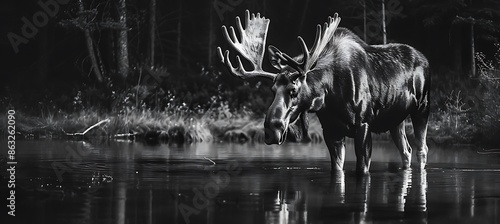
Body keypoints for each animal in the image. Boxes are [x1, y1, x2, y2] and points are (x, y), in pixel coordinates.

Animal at [217, 10, 432, 174]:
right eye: (272, 89)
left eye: (293, 90)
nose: (271, 129)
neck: (329, 96)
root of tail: (425, 59)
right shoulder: (331, 130)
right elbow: (337, 169)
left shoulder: (363, 124)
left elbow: (362, 169)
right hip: (396, 120)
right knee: (406, 151)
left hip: (422, 108)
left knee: (421, 149)